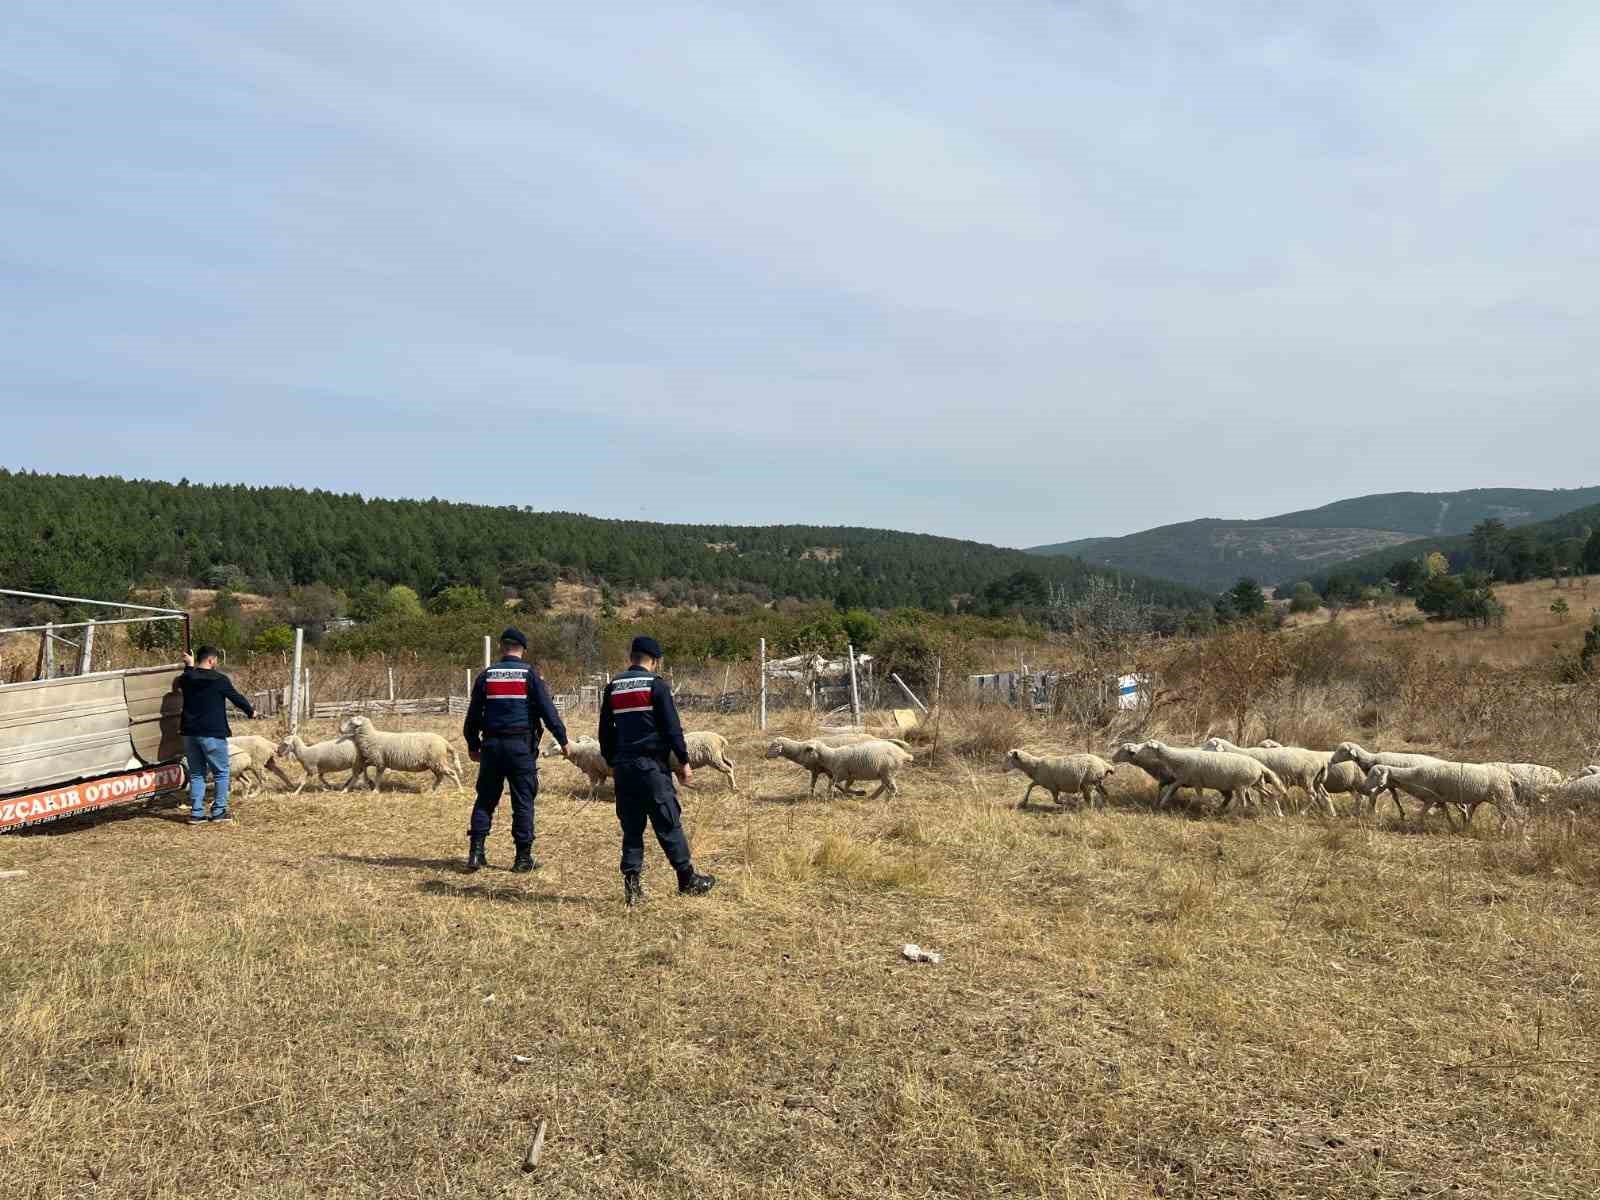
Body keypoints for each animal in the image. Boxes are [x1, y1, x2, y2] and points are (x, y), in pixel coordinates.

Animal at [1126, 742, 1286, 819]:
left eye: (1147, 746)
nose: (1134, 752)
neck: (1178, 758)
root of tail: (1260, 766)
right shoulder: (1182, 779)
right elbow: (1170, 791)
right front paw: (1161, 805)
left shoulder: (1197, 782)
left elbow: (1199, 799)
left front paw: (1210, 809)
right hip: (1256, 784)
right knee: (1271, 795)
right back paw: (1278, 814)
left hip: (1241, 786)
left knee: (1244, 803)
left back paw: (1229, 815)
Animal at [1203, 739, 1337, 825]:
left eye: (1209, 744)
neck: (1240, 752)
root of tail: (1322, 762)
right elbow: (1252, 796)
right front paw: (1258, 807)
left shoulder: (1258, 780)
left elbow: (1260, 798)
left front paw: (1265, 810)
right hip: (1316, 781)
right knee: (1325, 795)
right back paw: (1332, 814)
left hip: (1307, 779)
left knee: (1313, 795)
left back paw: (1302, 812)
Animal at [1363, 761, 1523, 838]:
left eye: (1374, 775)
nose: (1364, 787)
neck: (1413, 777)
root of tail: (1509, 776)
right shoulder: (1439, 799)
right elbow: (1446, 813)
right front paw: (1454, 826)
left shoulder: (1430, 798)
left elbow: (1421, 814)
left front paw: (1413, 827)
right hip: (1499, 799)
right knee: (1504, 816)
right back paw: (1499, 830)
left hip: (1504, 797)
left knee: (1516, 815)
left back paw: (1520, 833)